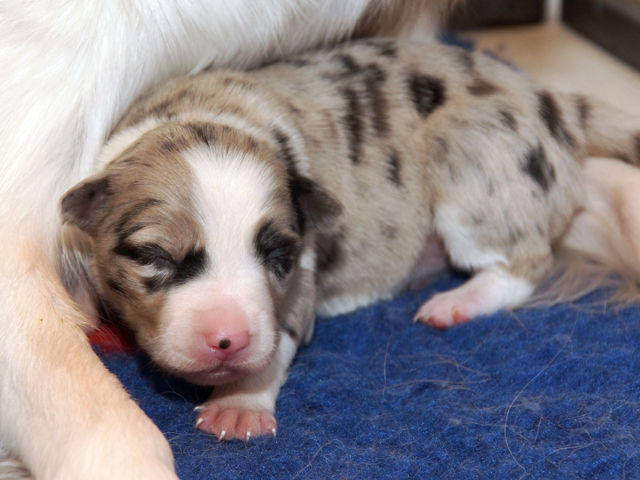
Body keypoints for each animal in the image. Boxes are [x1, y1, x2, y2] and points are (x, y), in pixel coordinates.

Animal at [59, 37, 640, 444]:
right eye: (154, 255)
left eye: (278, 255)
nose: (230, 339)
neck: (206, 110)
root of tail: (552, 100)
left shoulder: (301, 278)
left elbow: (281, 335)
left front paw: (240, 404)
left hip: (472, 163)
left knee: (526, 261)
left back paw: (457, 301)